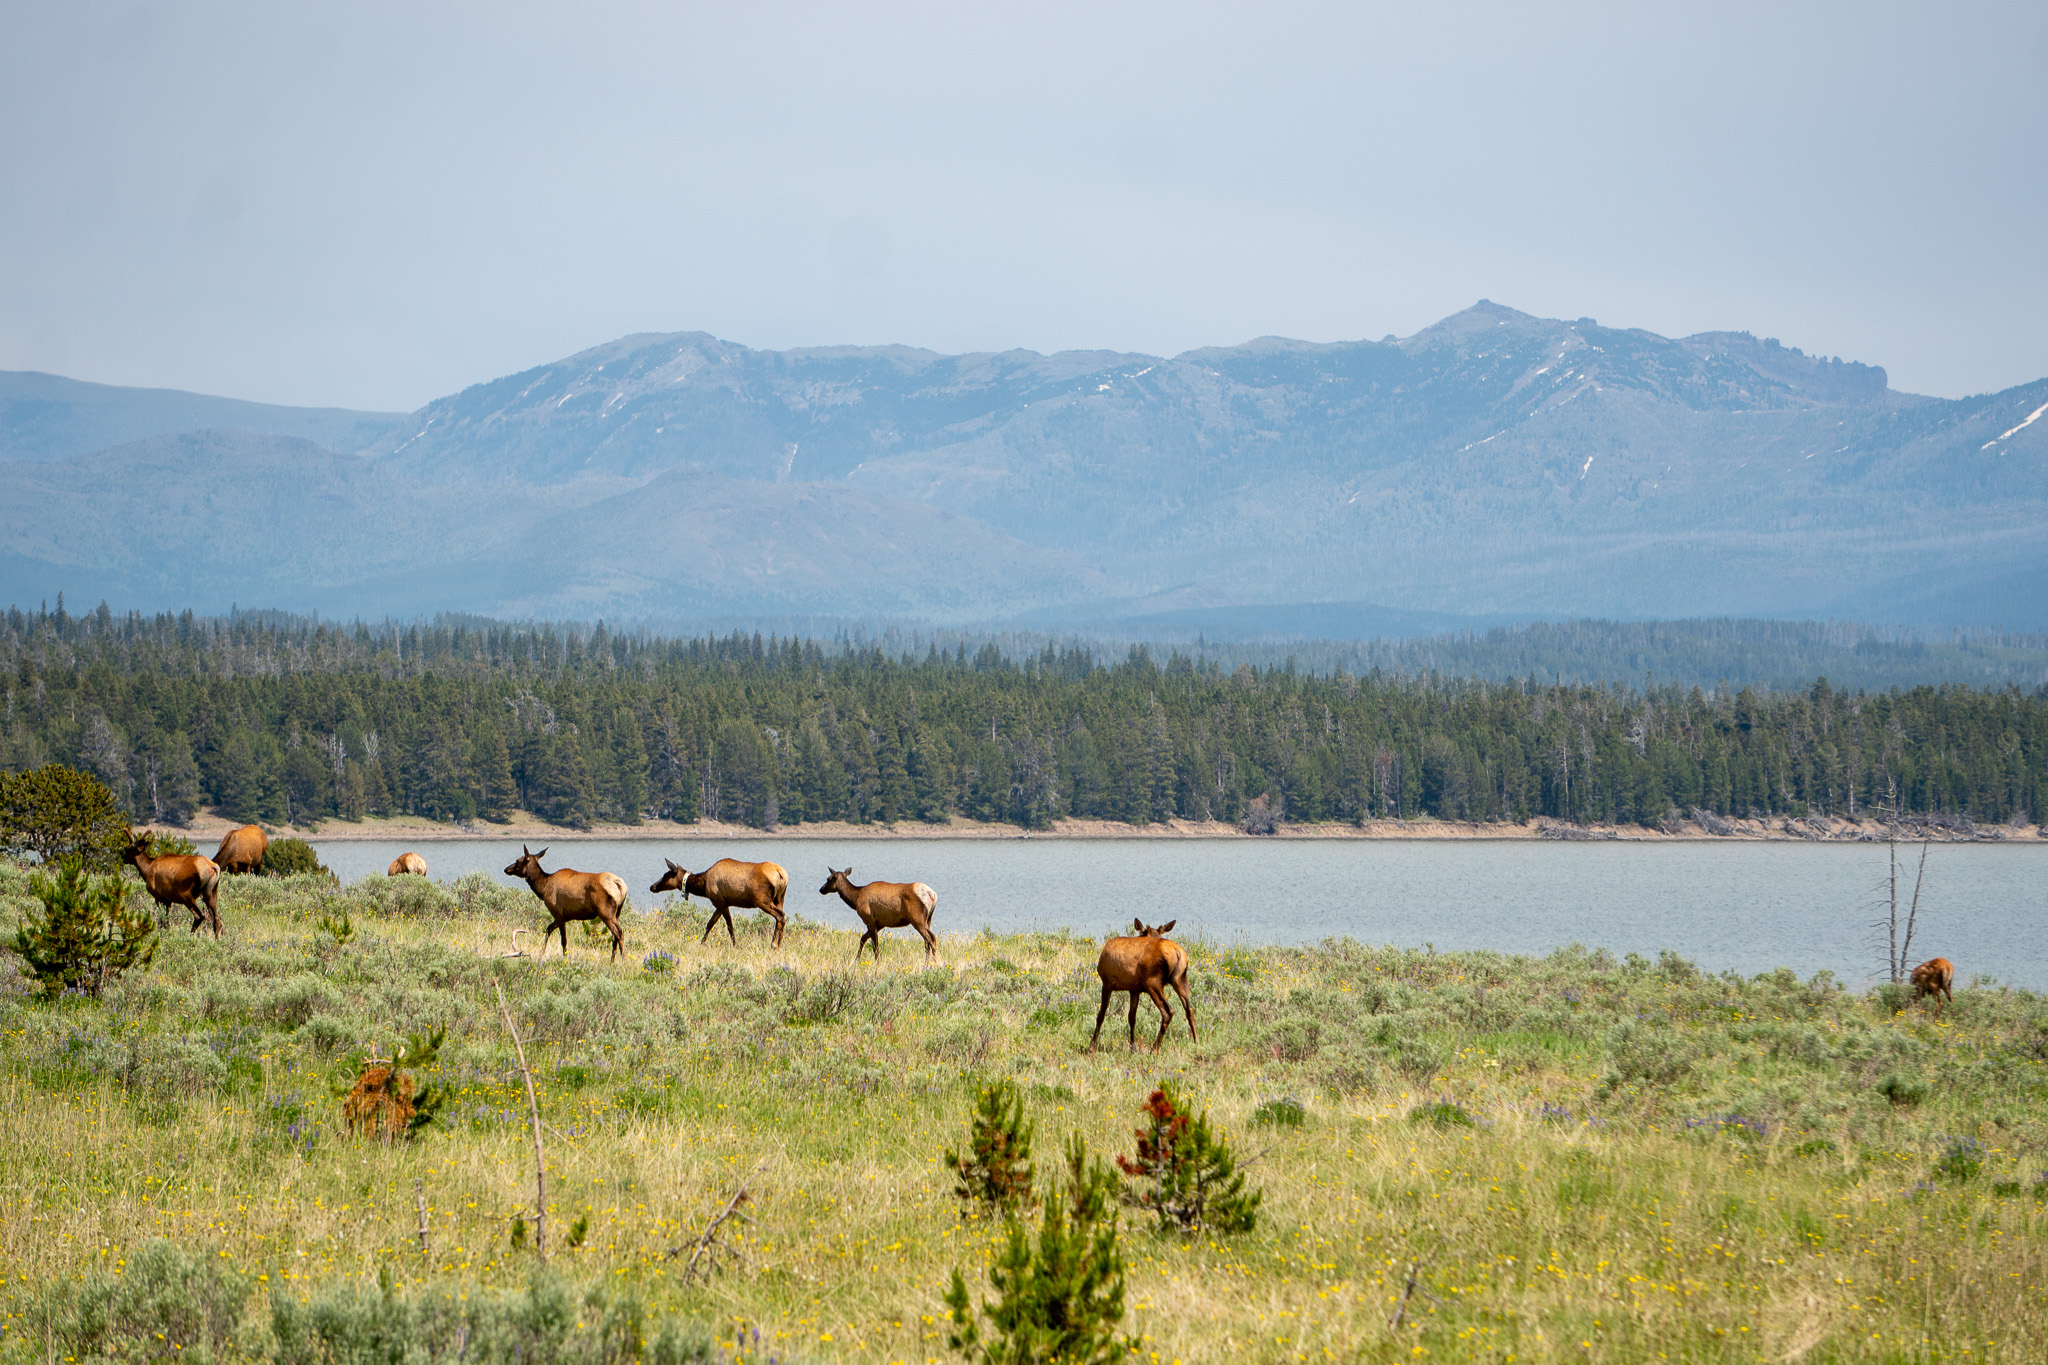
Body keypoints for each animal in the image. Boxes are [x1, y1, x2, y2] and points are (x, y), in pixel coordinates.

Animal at [650, 857, 789, 947]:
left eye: (666, 875)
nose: (652, 886)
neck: (703, 885)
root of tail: (781, 874)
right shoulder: (721, 903)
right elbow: (710, 924)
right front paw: (702, 943)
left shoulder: (720, 901)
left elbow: (729, 925)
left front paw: (734, 945)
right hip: (780, 898)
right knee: (782, 916)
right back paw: (779, 944)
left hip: (762, 900)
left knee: (780, 915)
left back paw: (773, 944)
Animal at [1089, 917, 1196, 1053]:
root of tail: (1178, 953)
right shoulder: (1134, 989)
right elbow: (1132, 1017)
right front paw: (1132, 1047)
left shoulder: (1107, 982)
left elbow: (1101, 1015)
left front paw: (1091, 1047)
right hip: (1180, 979)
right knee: (1189, 1009)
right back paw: (1196, 1042)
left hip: (1153, 982)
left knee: (1168, 1011)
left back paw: (1154, 1049)